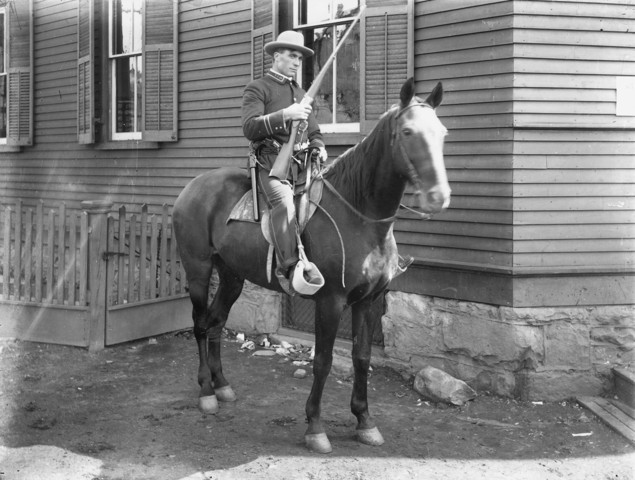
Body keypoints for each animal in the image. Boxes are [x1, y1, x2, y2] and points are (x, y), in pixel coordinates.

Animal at [173, 76, 452, 454]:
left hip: (232, 277)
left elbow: (362, 358)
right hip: (199, 270)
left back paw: (222, 384)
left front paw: (365, 421)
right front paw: (315, 427)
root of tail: (190, 188)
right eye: (408, 132)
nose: (439, 196)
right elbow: (323, 361)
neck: (359, 216)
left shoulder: (368, 302)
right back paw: (206, 391)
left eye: (442, 132)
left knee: (216, 322)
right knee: (201, 324)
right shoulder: (331, 302)